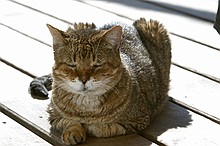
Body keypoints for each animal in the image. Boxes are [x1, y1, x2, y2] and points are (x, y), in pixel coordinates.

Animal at [28, 18, 171, 145]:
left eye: (97, 65)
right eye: (72, 65)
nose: (83, 80)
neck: (86, 108)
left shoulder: (138, 120)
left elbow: (102, 128)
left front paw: (90, 127)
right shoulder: (53, 114)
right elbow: (68, 121)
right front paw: (73, 131)